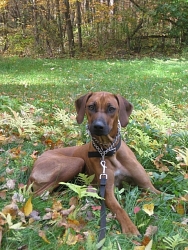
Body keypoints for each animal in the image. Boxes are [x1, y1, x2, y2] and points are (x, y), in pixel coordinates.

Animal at [27, 91, 160, 234]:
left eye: (111, 108)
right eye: (91, 107)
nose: (98, 126)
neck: (108, 150)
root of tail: (35, 163)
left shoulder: (148, 186)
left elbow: (162, 194)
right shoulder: (107, 192)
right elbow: (119, 209)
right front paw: (130, 227)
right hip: (76, 162)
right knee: (38, 194)